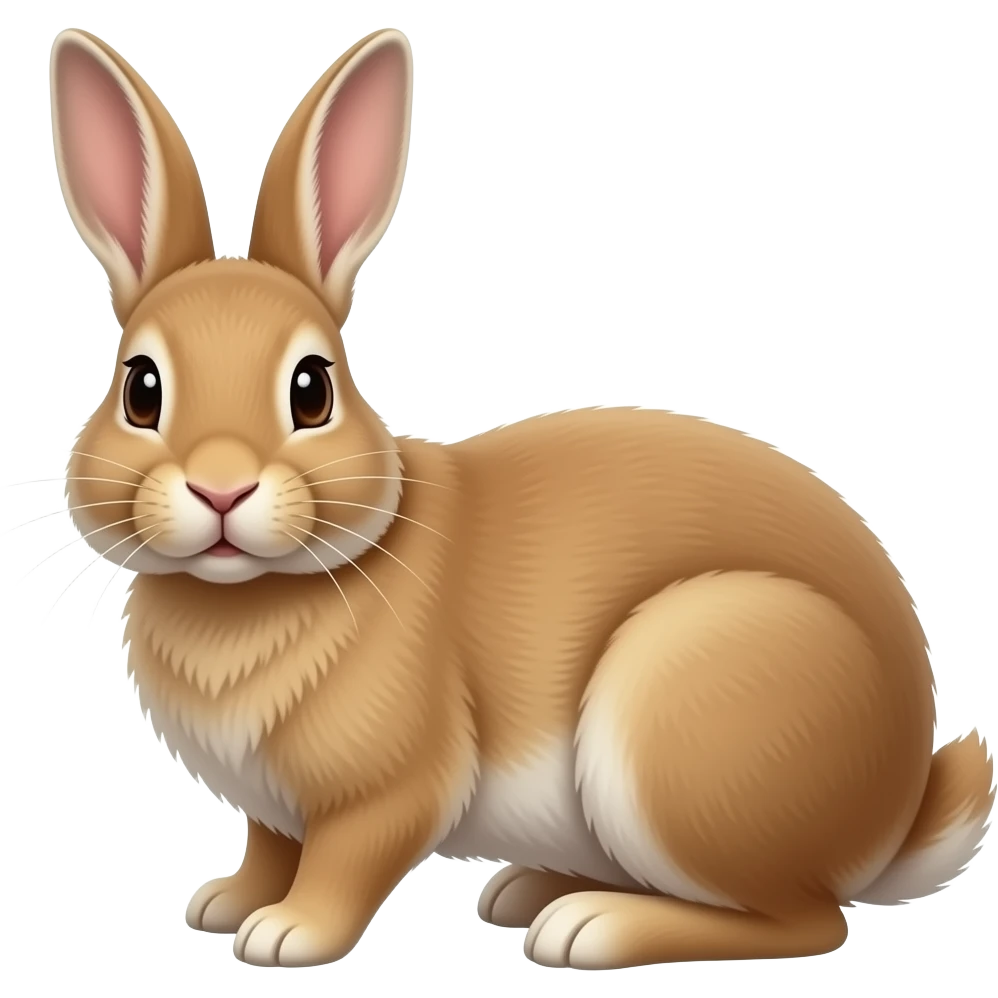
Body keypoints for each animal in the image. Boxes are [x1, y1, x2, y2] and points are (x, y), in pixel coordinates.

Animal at [48, 25, 994, 971]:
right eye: (141, 390)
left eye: (312, 390)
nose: (221, 485)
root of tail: (895, 812)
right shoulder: (271, 809)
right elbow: (269, 847)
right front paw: (225, 903)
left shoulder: (389, 788)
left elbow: (346, 860)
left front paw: (287, 933)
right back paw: (530, 890)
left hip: (681, 714)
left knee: (806, 921)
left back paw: (590, 926)